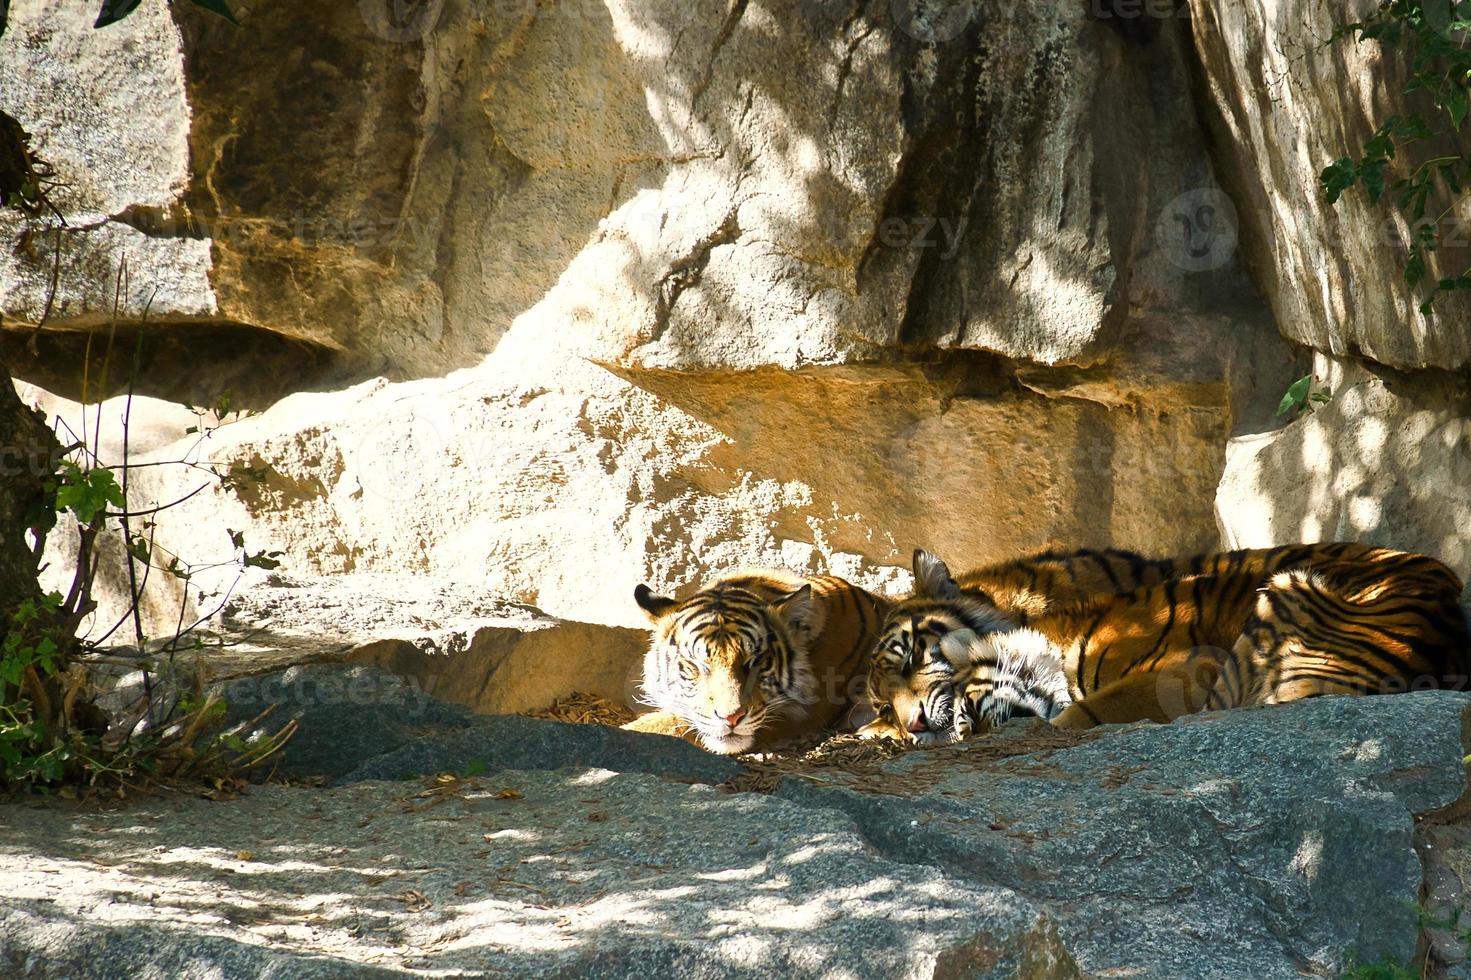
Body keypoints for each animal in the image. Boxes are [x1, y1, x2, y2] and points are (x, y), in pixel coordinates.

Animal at [859, 541, 1471, 741]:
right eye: (883, 708)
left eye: (910, 655)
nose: (916, 723)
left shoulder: (1185, 670)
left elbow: (1087, 713)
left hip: (1286, 588)